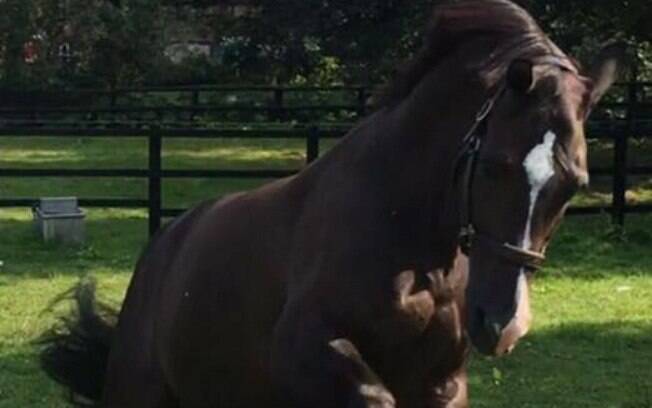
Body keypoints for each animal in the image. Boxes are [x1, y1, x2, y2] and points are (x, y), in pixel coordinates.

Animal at [39, 1, 620, 406]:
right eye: (497, 165)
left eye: (575, 184)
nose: (502, 326)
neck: (413, 246)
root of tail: (163, 248)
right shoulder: (305, 353)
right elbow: (373, 395)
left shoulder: (443, 383)